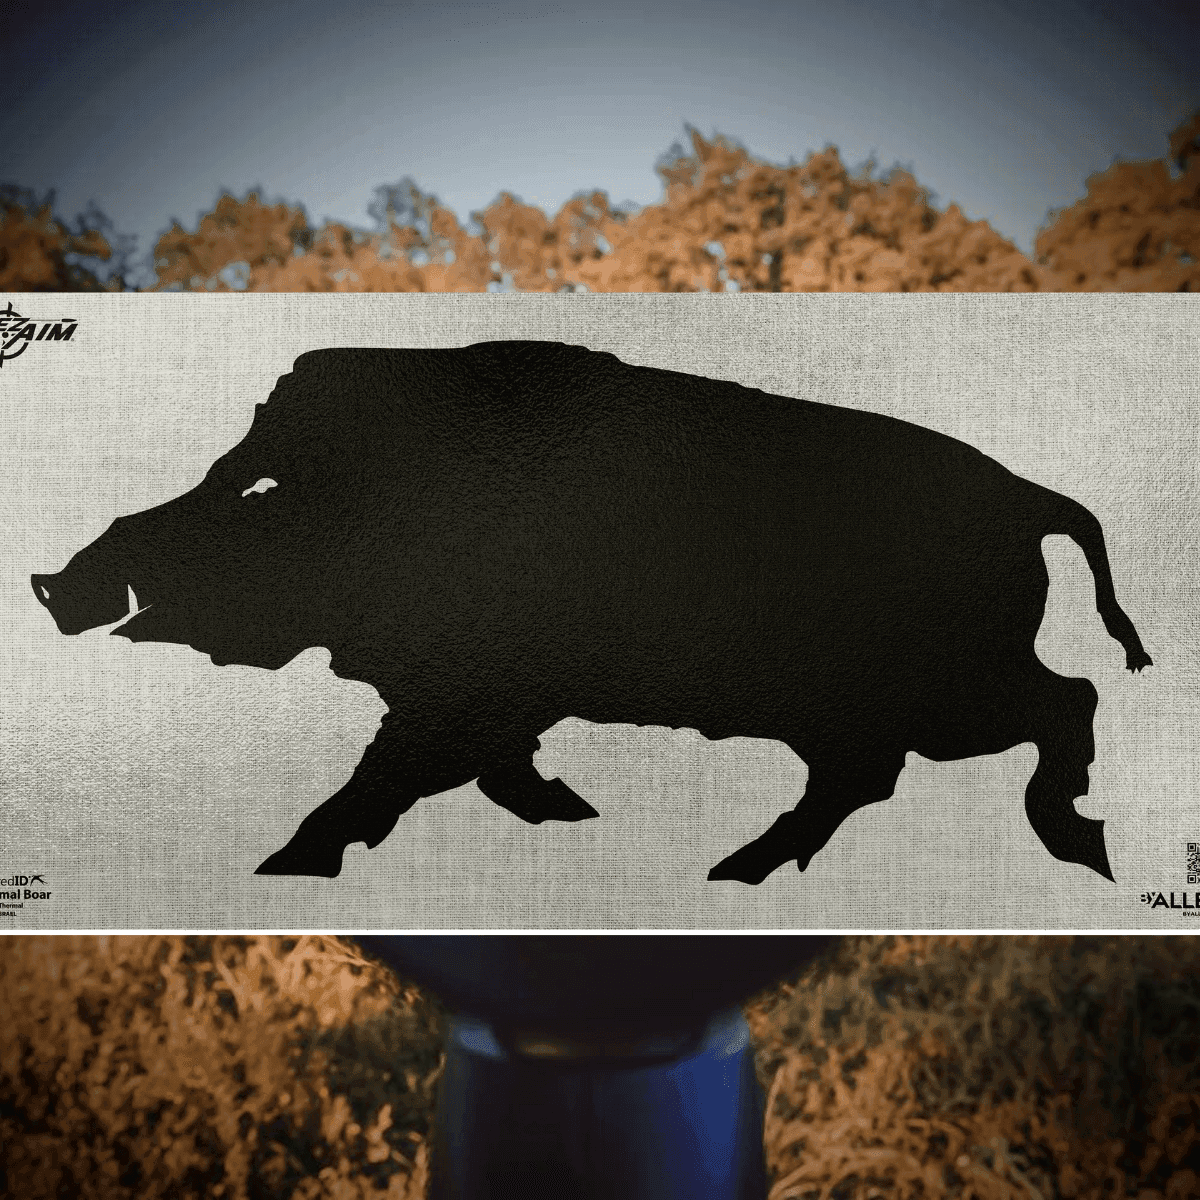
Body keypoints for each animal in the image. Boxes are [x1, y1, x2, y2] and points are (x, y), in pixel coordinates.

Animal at [31, 340, 1152, 883]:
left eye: (257, 486)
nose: (52, 583)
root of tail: (1031, 499)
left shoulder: (462, 697)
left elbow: (377, 781)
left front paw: (284, 867)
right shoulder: (485, 703)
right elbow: (474, 769)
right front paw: (577, 812)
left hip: (945, 691)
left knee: (1069, 700)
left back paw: (1078, 848)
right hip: (873, 707)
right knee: (872, 775)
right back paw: (732, 872)